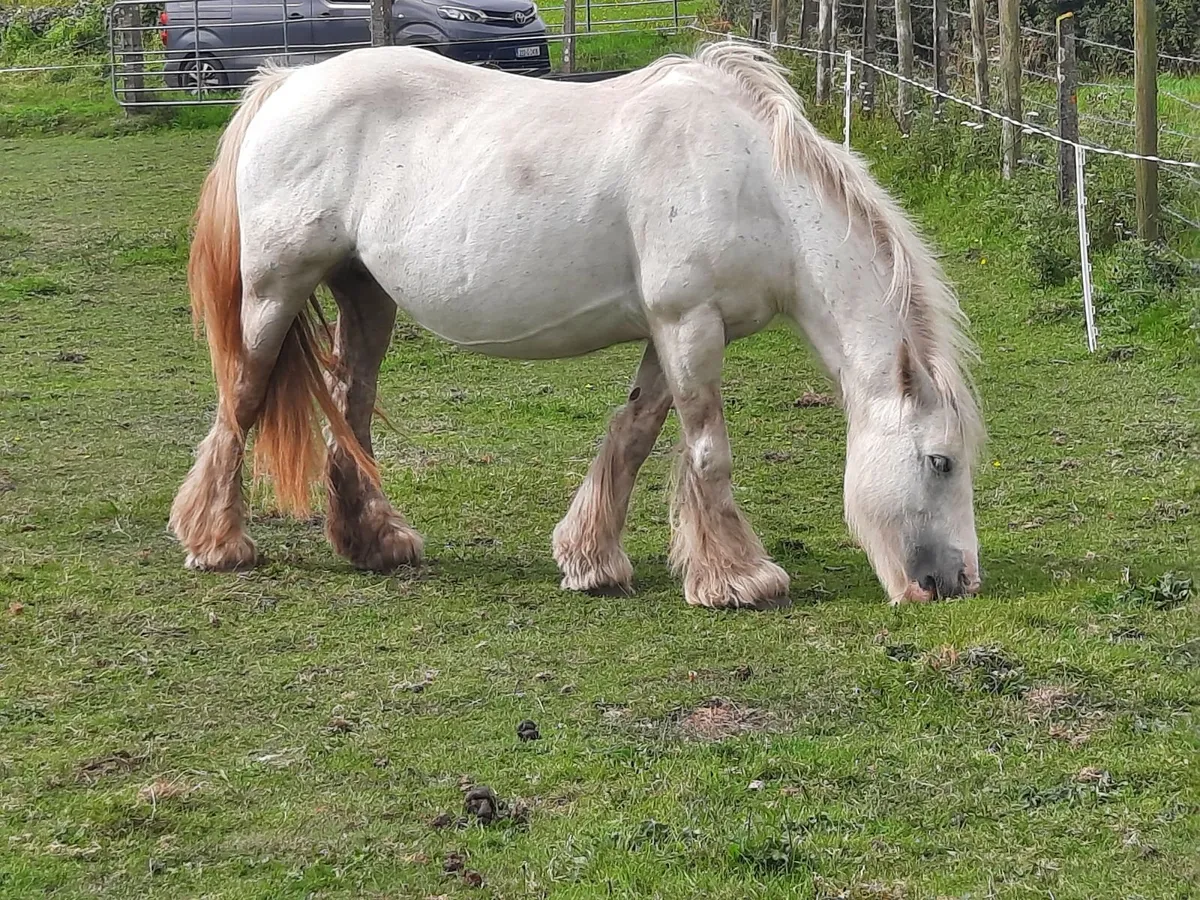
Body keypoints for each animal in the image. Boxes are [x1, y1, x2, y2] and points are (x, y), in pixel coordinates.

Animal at [169, 41, 984, 609]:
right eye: (940, 462)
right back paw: (217, 542)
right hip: (273, 292)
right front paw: (741, 578)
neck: (751, 179)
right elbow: (709, 452)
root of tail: (288, 82)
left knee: (352, 407)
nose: (953, 582)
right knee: (242, 401)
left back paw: (373, 542)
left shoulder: (671, 331)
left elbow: (634, 434)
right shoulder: (690, 324)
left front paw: (593, 560)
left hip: (366, 295)